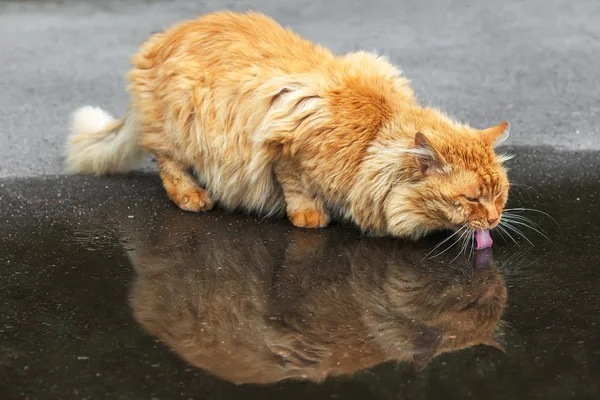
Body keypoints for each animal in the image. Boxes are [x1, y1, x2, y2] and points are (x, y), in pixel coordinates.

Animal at [67, 10, 510, 242]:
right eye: (472, 199)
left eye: (499, 197)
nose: (493, 221)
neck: (371, 138)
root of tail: (162, 38)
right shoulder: (285, 140)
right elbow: (297, 184)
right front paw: (309, 214)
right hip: (178, 123)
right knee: (166, 161)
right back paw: (193, 195)